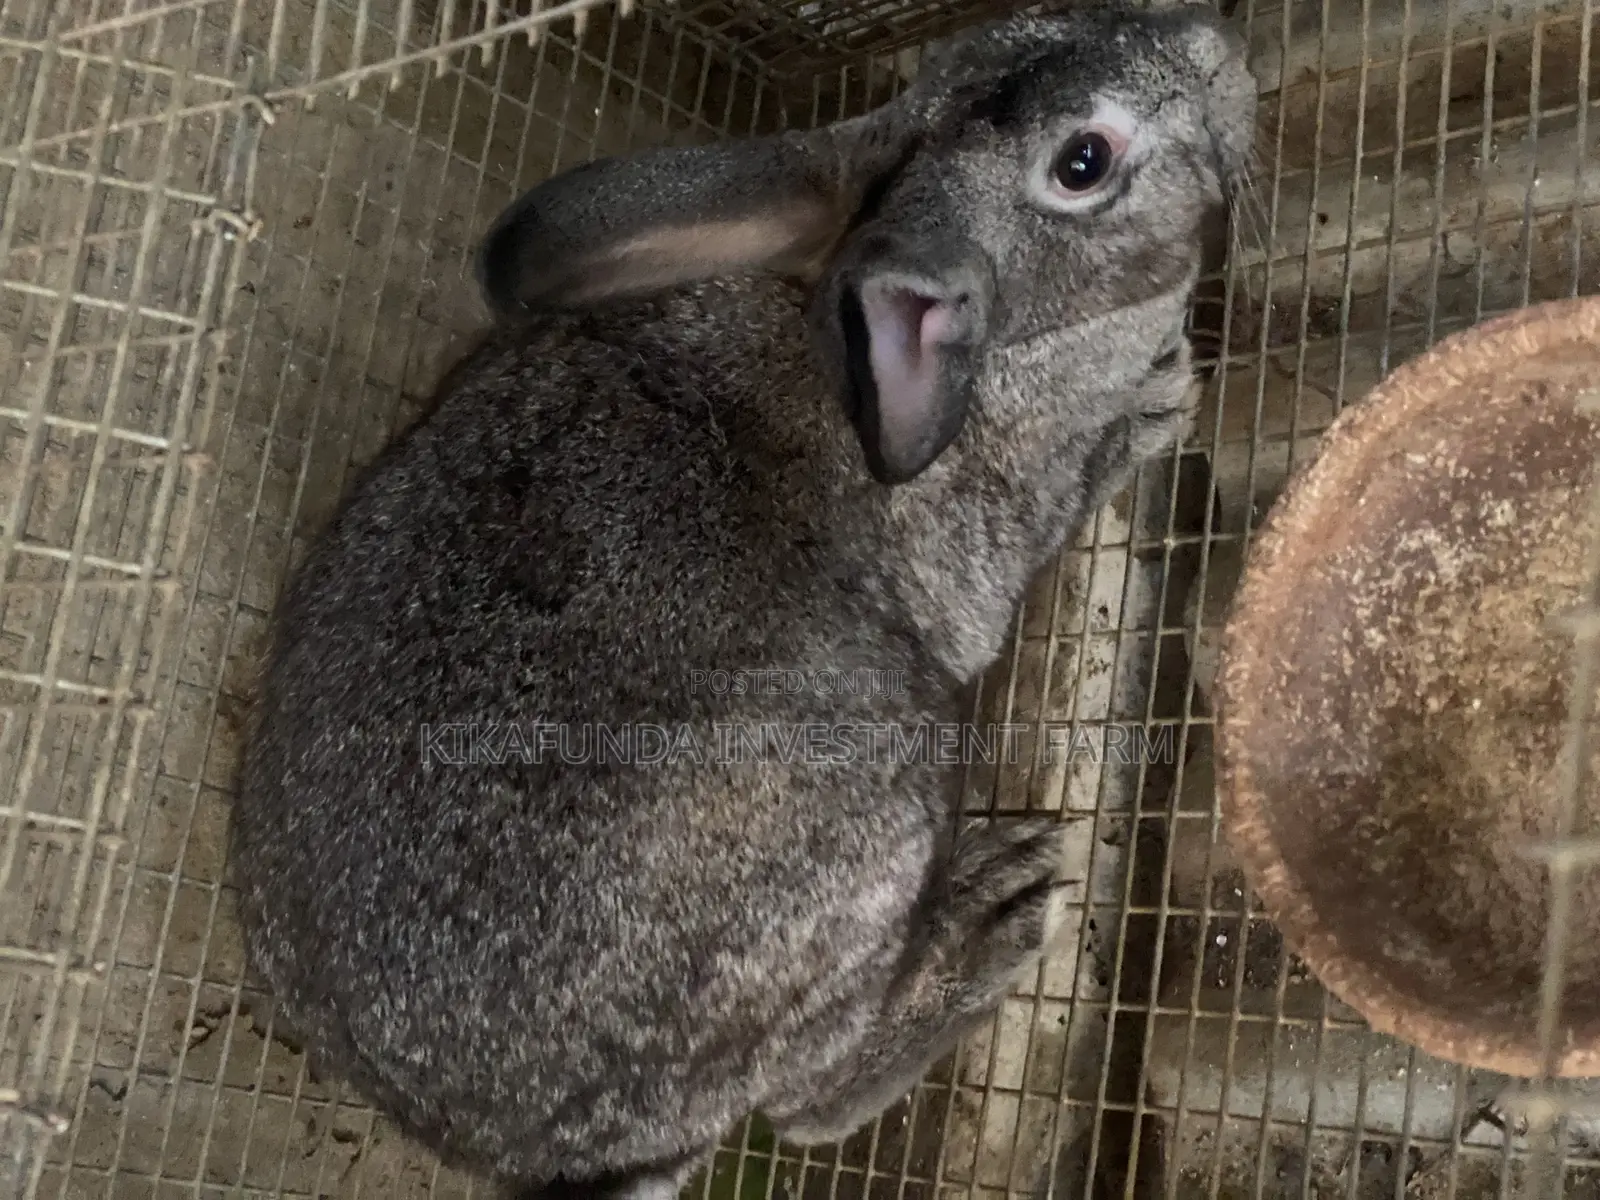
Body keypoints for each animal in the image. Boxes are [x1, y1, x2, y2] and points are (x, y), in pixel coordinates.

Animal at [228, 5, 1257, 1200]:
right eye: (1083, 161)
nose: (1217, 46)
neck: (1019, 329)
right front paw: (1157, 394)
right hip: (872, 800)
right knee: (806, 1102)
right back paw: (994, 915)